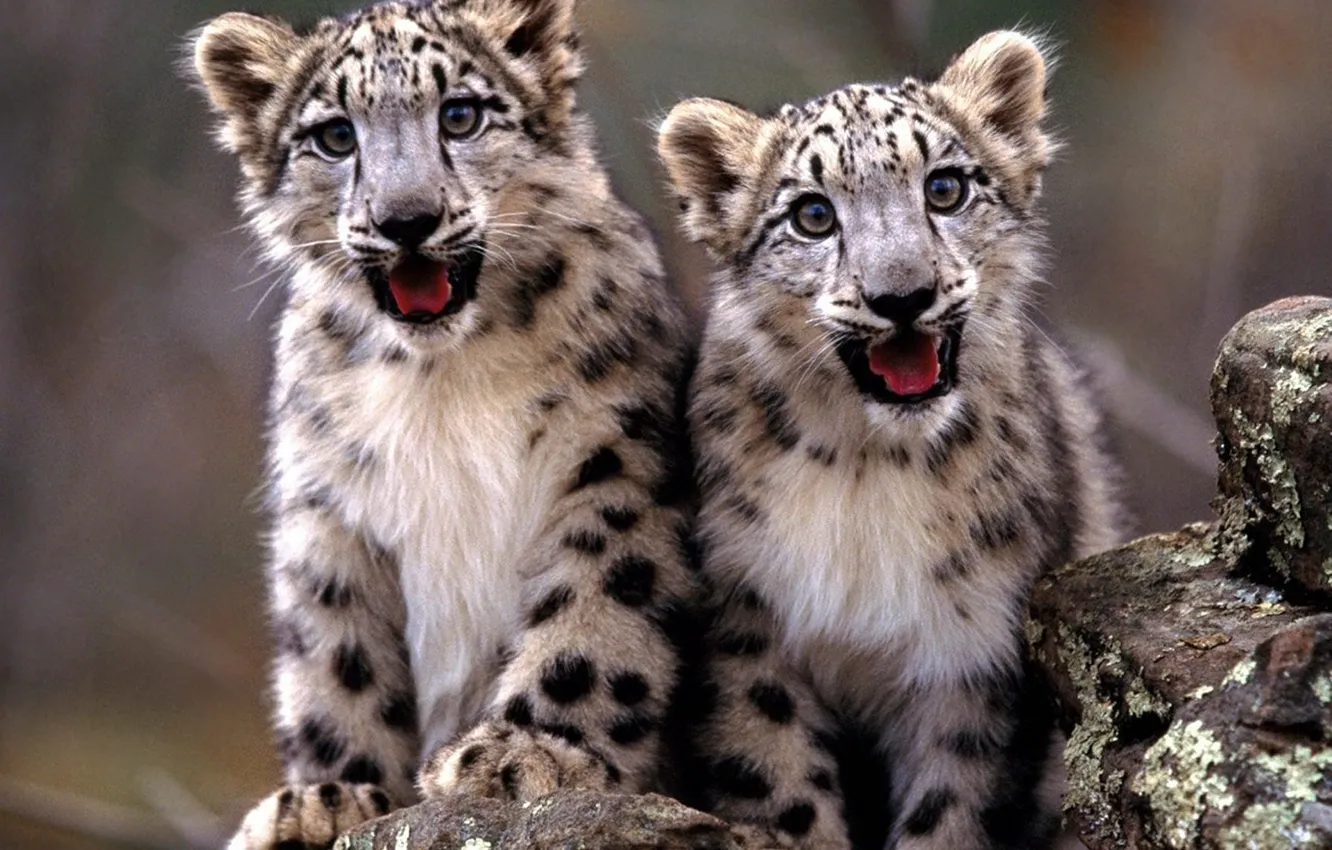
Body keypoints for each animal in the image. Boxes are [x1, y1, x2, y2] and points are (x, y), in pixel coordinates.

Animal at [187, 1, 701, 847]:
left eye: (460, 115)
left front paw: (530, 753)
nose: (407, 219)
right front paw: (328, 797)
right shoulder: (328, 504)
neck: (441, 379)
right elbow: (335, 652)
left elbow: (594, 607)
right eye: (335, 135)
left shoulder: (617, 461)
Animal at [657, 30, 1125, 850]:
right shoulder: (748, 627)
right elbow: (780, 786)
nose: (902, 296)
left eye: (945, 188)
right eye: (812, 215)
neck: (868, 467)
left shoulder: (976, 651)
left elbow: (953, 808)